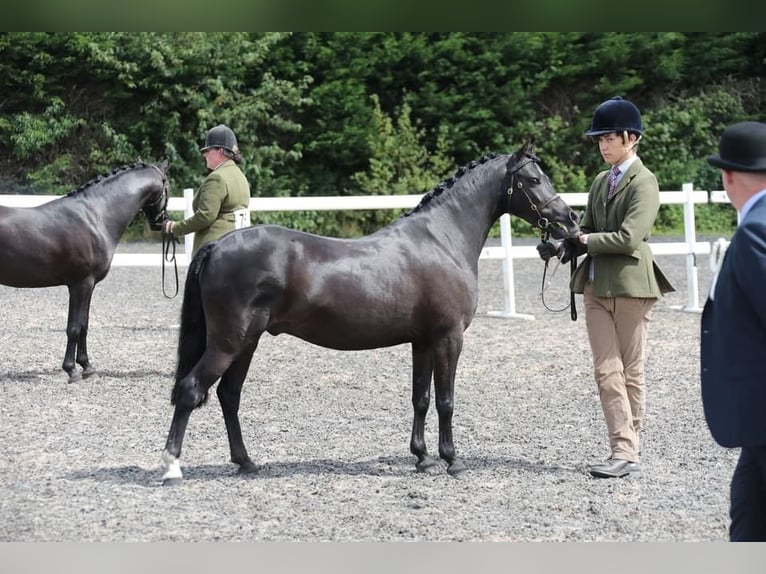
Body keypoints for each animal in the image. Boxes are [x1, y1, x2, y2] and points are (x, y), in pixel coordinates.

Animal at [0, 161, 170, 382]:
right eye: (167, 188)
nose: (160, 222)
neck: (96, 216)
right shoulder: (81, 284)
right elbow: (73, 328)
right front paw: (71, 370)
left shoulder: (89, 285)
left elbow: (84, 325)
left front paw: (87, 366)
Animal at [164, 144, 584, 486]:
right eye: (533, 179)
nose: (571, 219)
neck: (442, 239)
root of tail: (218, 246)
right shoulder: (449, 337)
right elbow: (446, 400)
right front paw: (452, 460)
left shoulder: (422, 341)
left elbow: (421, 398)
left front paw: (422, 458)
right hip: (229, 342)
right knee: (191, 390)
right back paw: (172, 467)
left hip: (246, 342)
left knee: (228, 395)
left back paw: (246, 462)